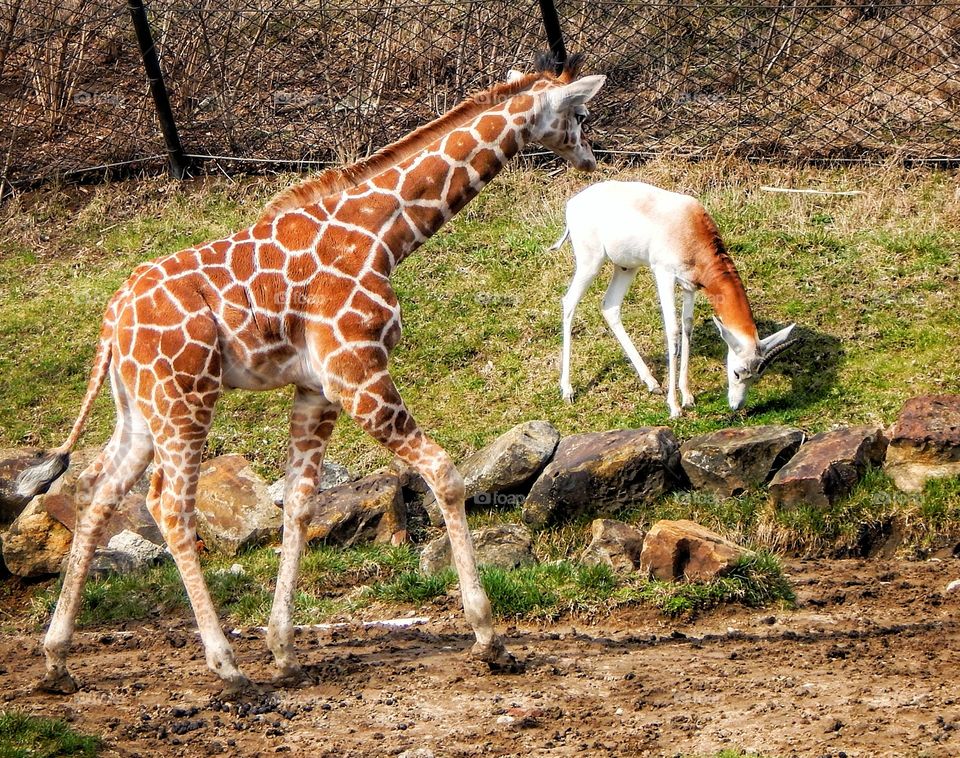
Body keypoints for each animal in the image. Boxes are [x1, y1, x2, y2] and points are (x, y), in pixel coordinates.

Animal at [18, 54, 606, 694]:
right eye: (578, 113)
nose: (592, 157)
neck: (383, 234)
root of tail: (112, 318)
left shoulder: (316, 388)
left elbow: (299, 505)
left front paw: (283, 651)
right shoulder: (358, 372)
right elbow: (444, 473)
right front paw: (489, 637)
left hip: (139, 406)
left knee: (97, 492)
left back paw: (56, 659)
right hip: (185, 397)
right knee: (170, 507)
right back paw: (225, 665)